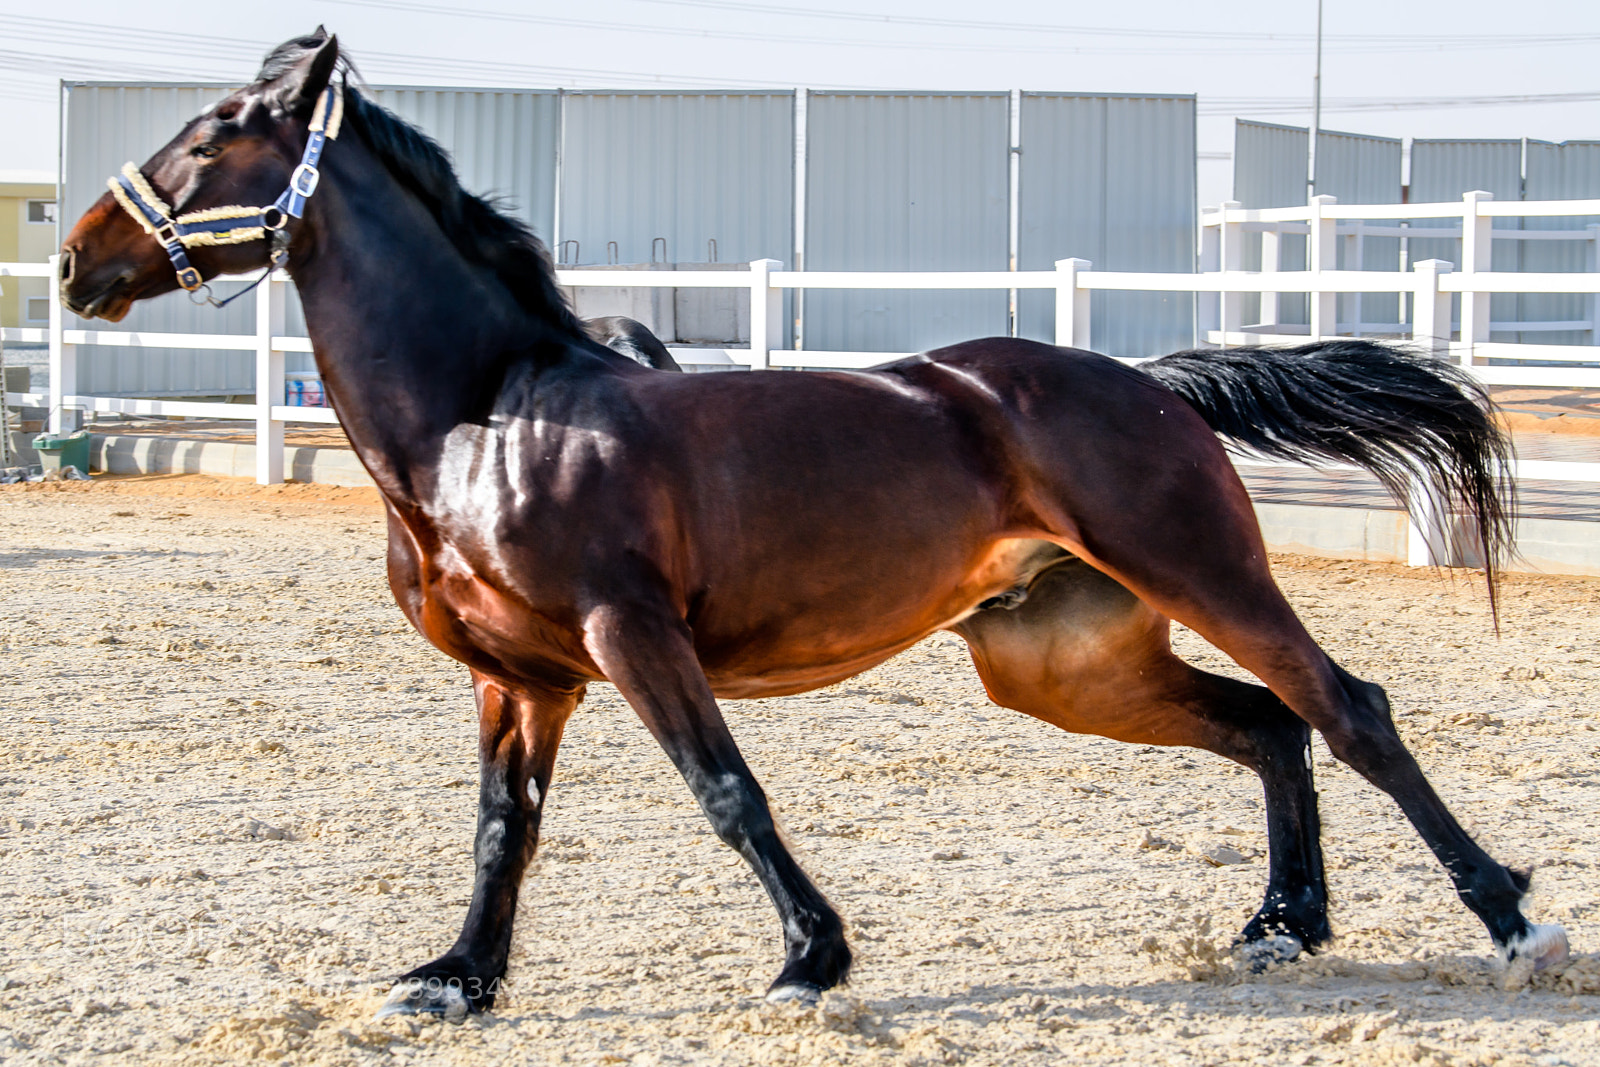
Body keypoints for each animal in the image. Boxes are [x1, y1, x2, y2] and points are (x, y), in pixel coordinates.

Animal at [59, 30, 1568, 1019]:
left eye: (217, 129)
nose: (77, 260)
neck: (485, 417)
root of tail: (1147, 382)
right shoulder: (520, 677)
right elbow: (502, 828)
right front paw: (457, 980)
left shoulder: (631, 634)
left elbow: (727, 790)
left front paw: (811, 958)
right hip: (1061, 661)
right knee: (1267, 726)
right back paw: (1281, 927)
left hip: (1204, 569)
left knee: (1348, 708)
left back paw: (1512, 919)